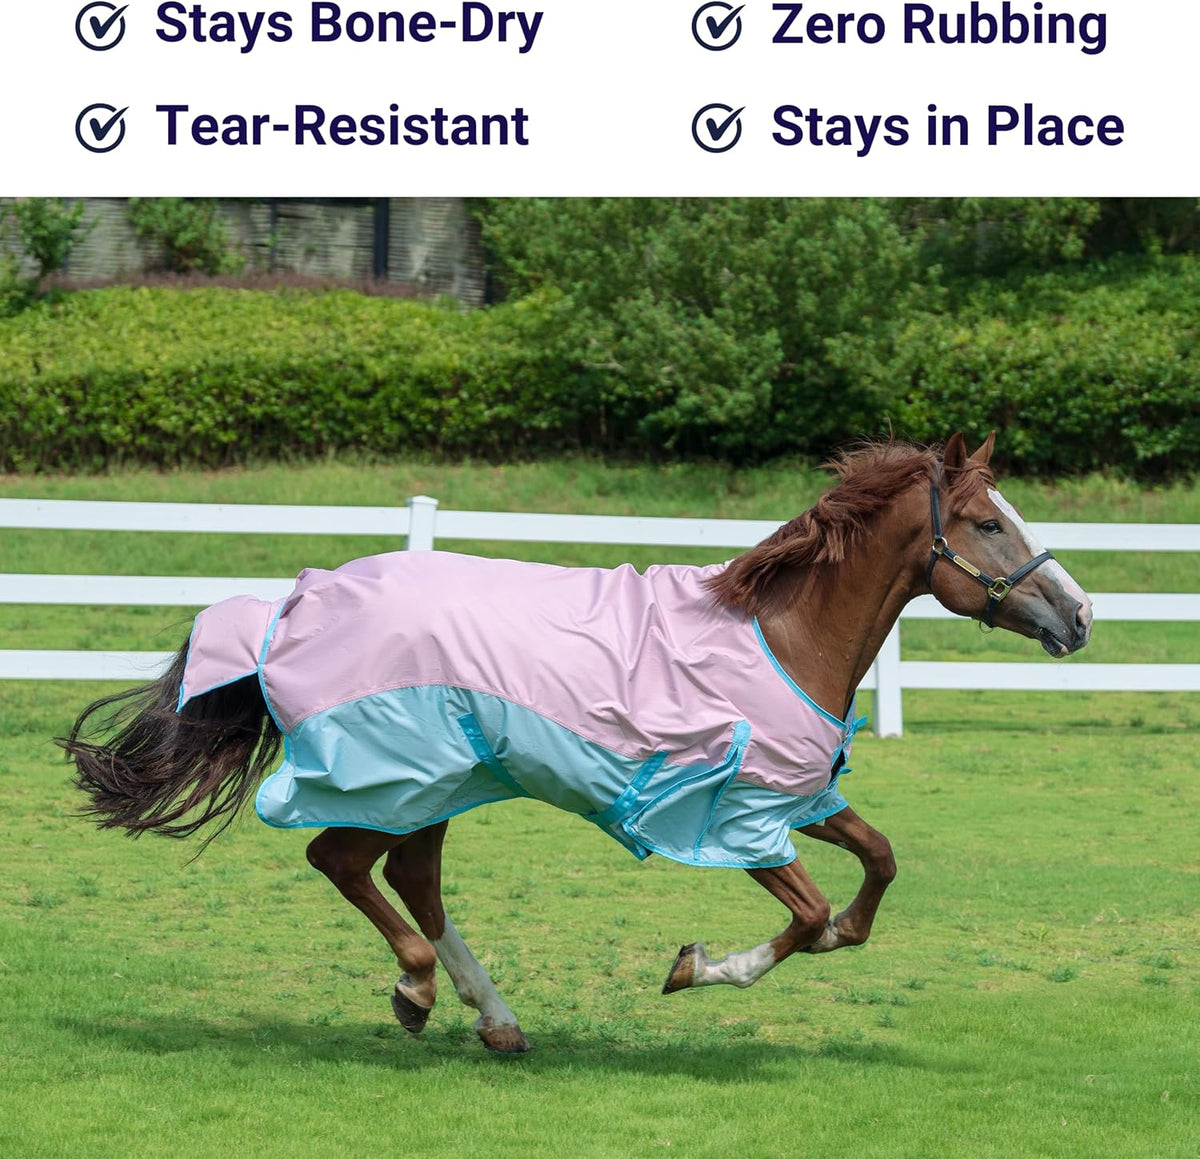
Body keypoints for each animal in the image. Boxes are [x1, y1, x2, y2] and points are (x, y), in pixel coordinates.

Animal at [62, 433, 1092, 1053]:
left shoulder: (799, 795)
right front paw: (698, 967)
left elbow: (877, 867)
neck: (781, 634)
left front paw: (834, 930)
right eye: (989, 523)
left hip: (446, 783)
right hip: (403, 775)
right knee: (342, 860)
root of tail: (295, 600)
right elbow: (805, 916)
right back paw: (418, 993)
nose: (1079, 615)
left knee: (410, 878)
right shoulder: (739, 817)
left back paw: (497, 1020)